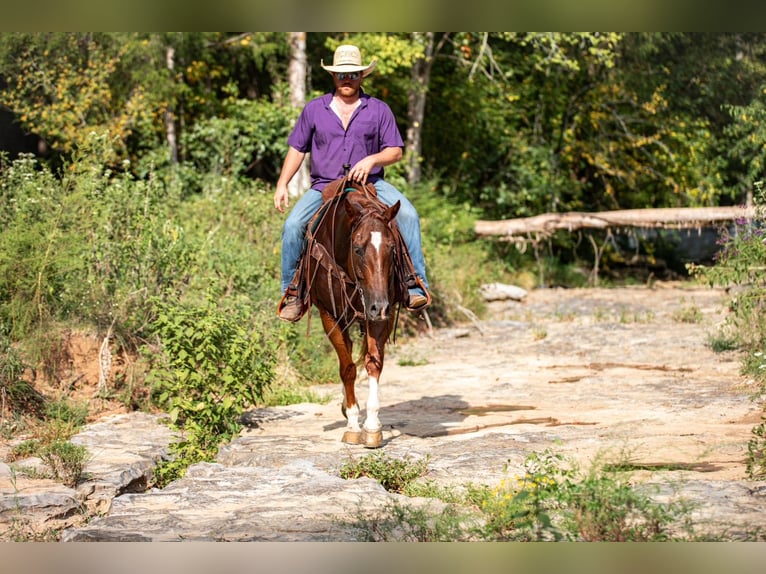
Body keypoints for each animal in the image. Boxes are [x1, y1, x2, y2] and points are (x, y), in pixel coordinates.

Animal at [299, 178, 408, 448]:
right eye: (358, 248)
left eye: (392, 249)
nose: (379, 305)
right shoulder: (329, 315)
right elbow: (347, 368)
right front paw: (351, 423)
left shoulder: (380, 316)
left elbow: (373, 363)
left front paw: (371, 426)